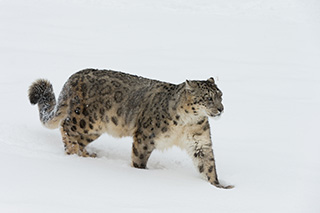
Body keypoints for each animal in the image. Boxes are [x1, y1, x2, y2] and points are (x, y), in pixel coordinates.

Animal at [28, 68, 232, 188]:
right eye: (208, 98)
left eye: (220, 95)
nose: (221, 108)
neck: (188, 122)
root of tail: (74, 76)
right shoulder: (146, 136)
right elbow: (140, 158)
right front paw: (140, 173)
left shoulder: (199, 142)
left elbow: (208, 165)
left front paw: (218, 186)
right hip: (85, 119)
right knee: (66, 127)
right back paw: (74, 152)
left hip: (94, 129)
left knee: (78, 137)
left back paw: (86, 154)